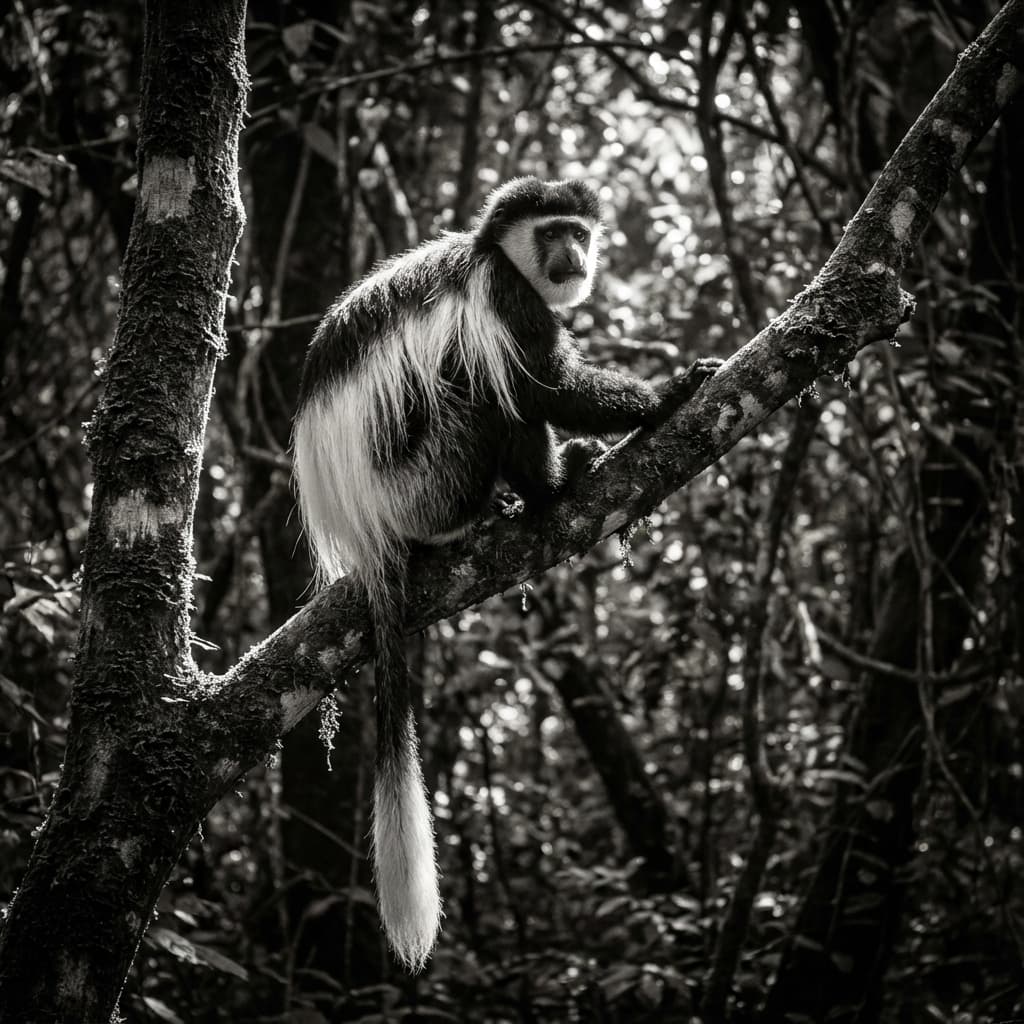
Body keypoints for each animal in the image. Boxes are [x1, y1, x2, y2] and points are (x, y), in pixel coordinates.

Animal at [292, 177, 720, 971]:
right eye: (552, 232)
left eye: (580, 230)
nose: (573, 255)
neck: (497, 255)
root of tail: (366, 533)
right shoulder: (502, 302)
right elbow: (544, 387)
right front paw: (671, 393)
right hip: (427, 479)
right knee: (489, 395)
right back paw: (547, 490)